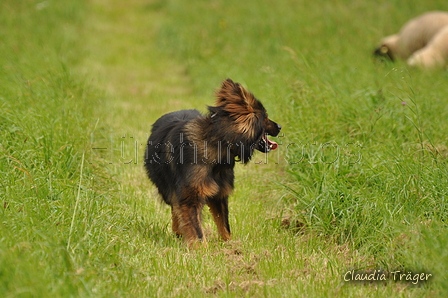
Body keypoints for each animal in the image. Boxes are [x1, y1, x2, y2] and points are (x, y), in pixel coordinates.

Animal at [145, 78, 282, 247]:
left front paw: (230, 245)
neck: (218, 142)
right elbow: (197, 231)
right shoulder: (191, 198)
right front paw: (201, 250)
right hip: (167, 187)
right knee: (174, 206)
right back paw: (178, 230)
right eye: (266, 117)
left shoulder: (219, 195)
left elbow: (224, 225)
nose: (280, 126)